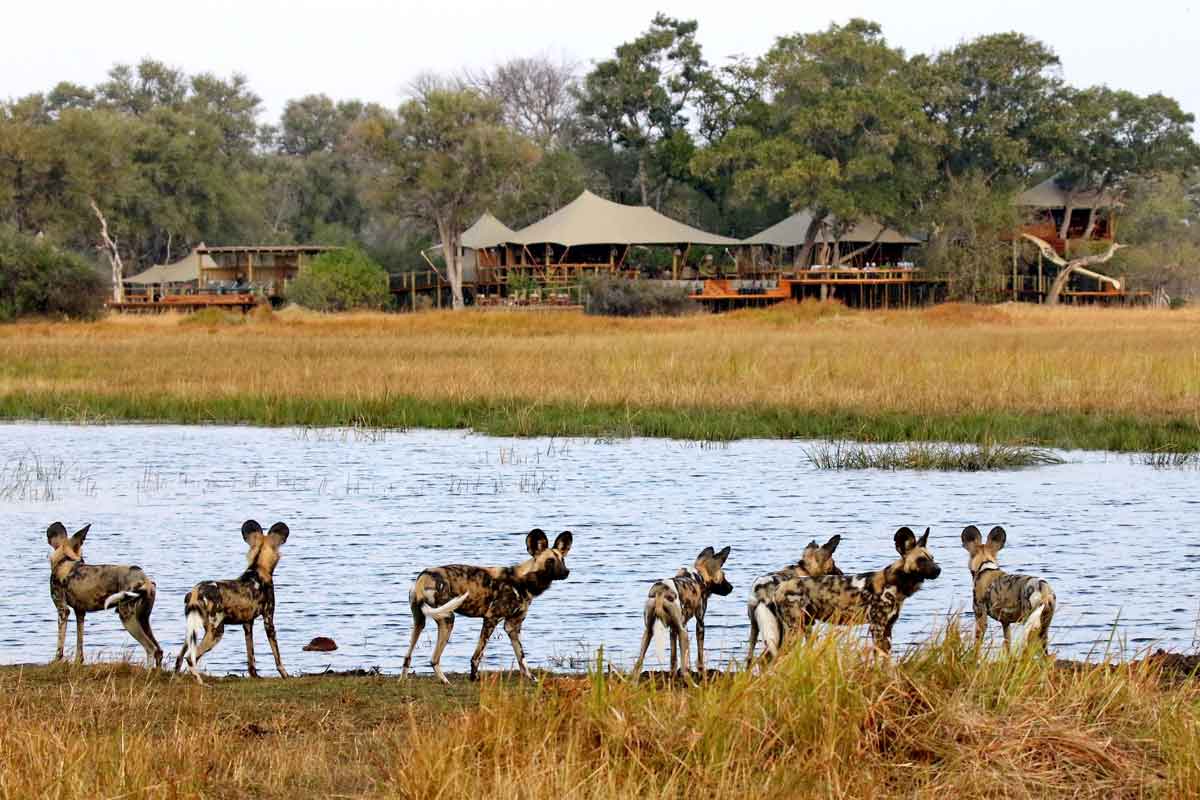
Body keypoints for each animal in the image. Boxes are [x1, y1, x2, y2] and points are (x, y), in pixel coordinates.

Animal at [45, 520, 162, 671]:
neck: (65, 560)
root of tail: (145, 580)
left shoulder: (62, 610)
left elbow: (60, 645)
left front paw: (55, 662)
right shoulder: (80, 613)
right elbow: (79, 645)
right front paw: (77, 663)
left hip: (127, 618)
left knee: (150, 648)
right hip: (143, 619)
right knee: (159, 650)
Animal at [172, 522, 291, 686]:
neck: (258, 568)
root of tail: (197, 590)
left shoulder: (247, 624)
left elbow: (250, 656)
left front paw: (255, 676)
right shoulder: (268, 620)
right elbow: (277, 656)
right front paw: (285, 675)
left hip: (192, 630)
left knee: (179, 657)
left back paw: (175, 679)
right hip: (216, 632)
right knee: (190, 658)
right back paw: (202, 684)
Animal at [400, 527, 573, 686]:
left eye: (563, 560)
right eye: (550, 561)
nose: (566, 572)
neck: (523, 581)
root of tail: (423, 576)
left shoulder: (512, 626)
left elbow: (522, 658)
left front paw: (532, 679)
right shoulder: (491, 619)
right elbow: (477, 656)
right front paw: (474, 678)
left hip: (420, 621)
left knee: (408, 655)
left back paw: (403, 680)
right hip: (447, 618)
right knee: (434, 659)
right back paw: (446, 682)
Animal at [633, 542, 734, 681]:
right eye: (724, 576)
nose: (731, 587)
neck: (699, 575)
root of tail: (661, 591)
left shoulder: (675, 629)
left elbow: (673, 658)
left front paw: (672, 675)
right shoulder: (699, 624)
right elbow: (698, 655)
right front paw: (701, 672)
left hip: (649, 632)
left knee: (639, 662)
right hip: (683, 633)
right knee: (684, 669)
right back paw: (691, 682)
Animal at [772, 527, 940, 652]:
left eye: (932, 558)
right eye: (921, 560)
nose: (939, 570)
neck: (895, 584)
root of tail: (780, 586)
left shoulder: (888, 628)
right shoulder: (877, 627)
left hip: (805, 627)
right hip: (795, 629)